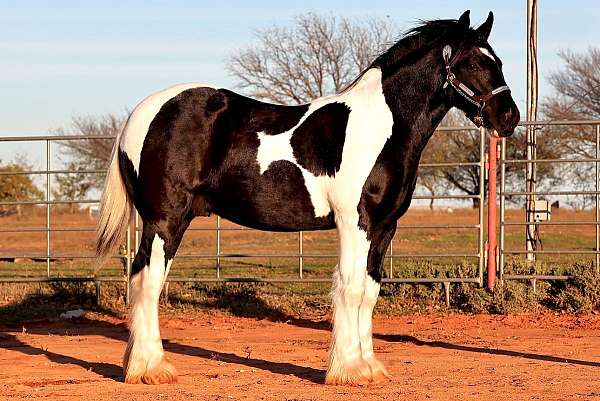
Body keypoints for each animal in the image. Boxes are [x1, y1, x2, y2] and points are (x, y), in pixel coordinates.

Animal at [96, 10, 516, 384]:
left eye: (497, 60)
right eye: (473, 62)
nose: (508, 117)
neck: (381, 127)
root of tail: (141, 114)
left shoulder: (384, 227)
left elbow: (370, 291)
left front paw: (369, 367)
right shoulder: (355, 222)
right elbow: (351, 286)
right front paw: (348, 370)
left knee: (143, 279)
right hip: (166, 219)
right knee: (148, 280)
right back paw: (151, 369)